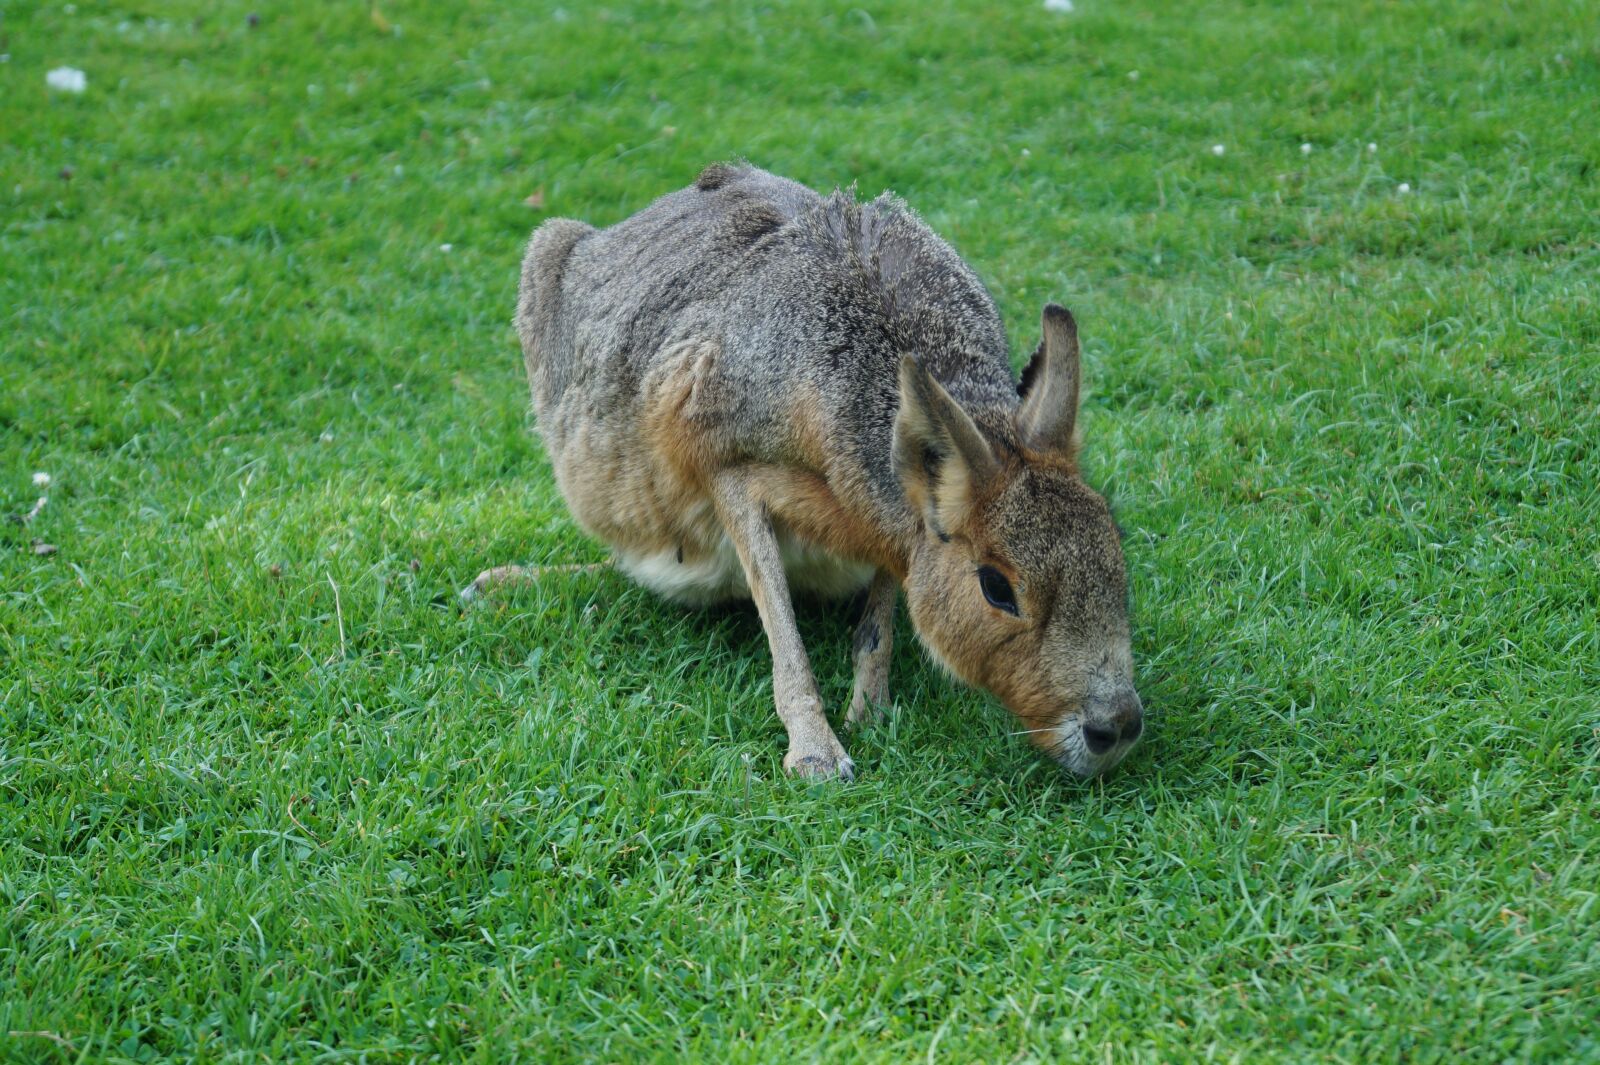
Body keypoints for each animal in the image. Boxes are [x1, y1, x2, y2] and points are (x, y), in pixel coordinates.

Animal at [464, 162, 1142, 780]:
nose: (1117, 729)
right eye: (998, 589)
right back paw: (504, 581)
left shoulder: (891, 521)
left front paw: (872, 711)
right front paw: (817, 752)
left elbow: (879, 620)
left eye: (1115, 553)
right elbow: (781, 623)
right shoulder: (724, 462)